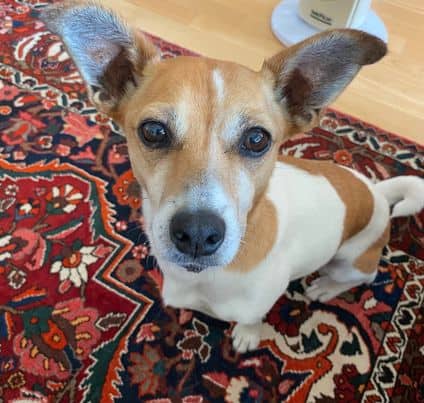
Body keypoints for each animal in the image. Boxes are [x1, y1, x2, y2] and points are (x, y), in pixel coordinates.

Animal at [41, 1, 424, 353]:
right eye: (153, 131)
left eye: (257, 139)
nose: (197, 234)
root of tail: (376, 191)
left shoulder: (261, 301)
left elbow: (253, 318)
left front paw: (247, 335)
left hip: (353, 262)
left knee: (361, 275)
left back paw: (326, 287)